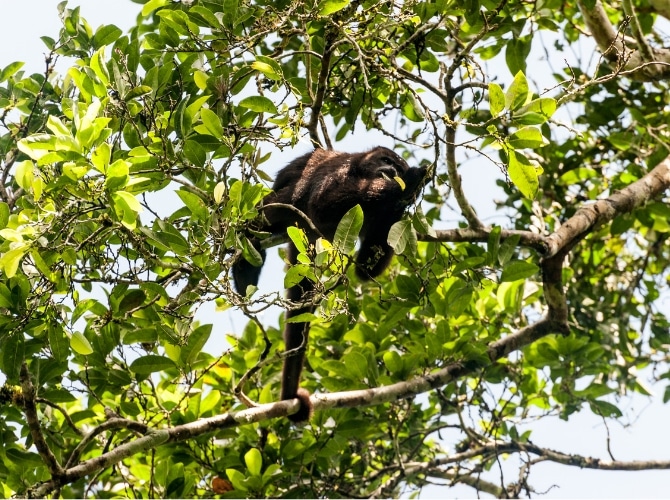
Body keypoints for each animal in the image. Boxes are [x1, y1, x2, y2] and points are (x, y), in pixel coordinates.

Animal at [234, 147, 428, 422]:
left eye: (396, 168)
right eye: (387, 161)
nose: (392, 171)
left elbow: (366, 269)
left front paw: (408, 190)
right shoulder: (341, 167)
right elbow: (322, 203)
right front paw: (410, 182)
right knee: (266, 214)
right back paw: (244, 267)